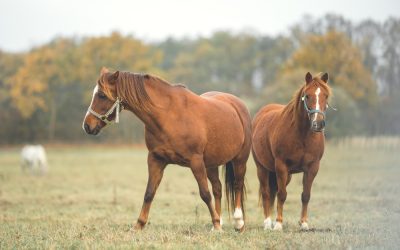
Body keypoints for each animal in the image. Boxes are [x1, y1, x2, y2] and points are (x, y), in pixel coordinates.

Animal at [82, 67, 250, 231]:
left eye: (102, 95)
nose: (87, 126)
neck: (168, 115)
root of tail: (237, 104)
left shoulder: (195, 161)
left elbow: (205, 194)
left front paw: (216, 223)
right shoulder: (156, 159)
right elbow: (149, 193)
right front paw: (139, 225)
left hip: (240, 160)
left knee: (237, 185)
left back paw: (238, 223)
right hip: (211, 164)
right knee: (217, 188)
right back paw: (220, 222)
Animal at [252, 72, 332, 230]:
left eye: (325, 95)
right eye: (307, 96)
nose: (318, 123)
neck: (302, 135)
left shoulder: (312, 168)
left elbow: (305, 195)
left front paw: (304, 223)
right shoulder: (281, 166)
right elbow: (282, 195)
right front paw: (278, 224)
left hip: (285, 175)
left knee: (273, 192)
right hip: (262, 168)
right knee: (266, 193)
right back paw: (267, 223)